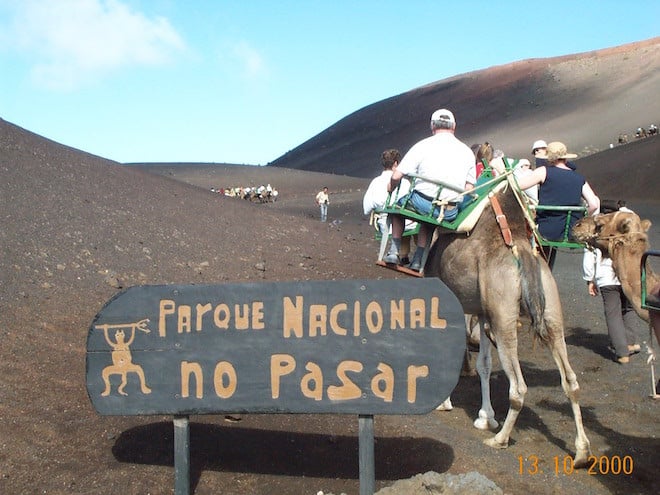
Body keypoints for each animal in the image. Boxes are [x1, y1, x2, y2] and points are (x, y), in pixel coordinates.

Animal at [426, 177, 592, 468]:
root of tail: (523, 254)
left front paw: (444, 403)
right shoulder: (483, 313)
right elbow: (483, 364)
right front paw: (486, 416)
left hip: (504, 319)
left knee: (519, 387)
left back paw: (500, 439)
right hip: (549, 312)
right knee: (570, 380)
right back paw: (582, 451)